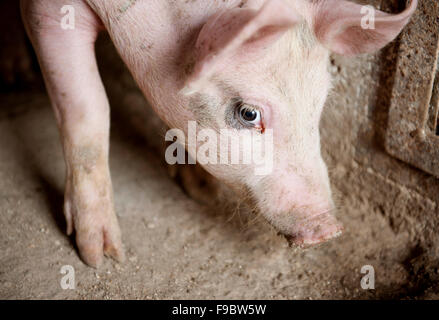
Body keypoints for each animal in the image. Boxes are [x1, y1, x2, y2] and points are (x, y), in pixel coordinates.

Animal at [20, 0, 420, 268]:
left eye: (319, 104)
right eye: (248, 113)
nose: (329, 227)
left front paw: (201, 191)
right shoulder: (49, 12)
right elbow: (87, 110)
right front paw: (102, 256)